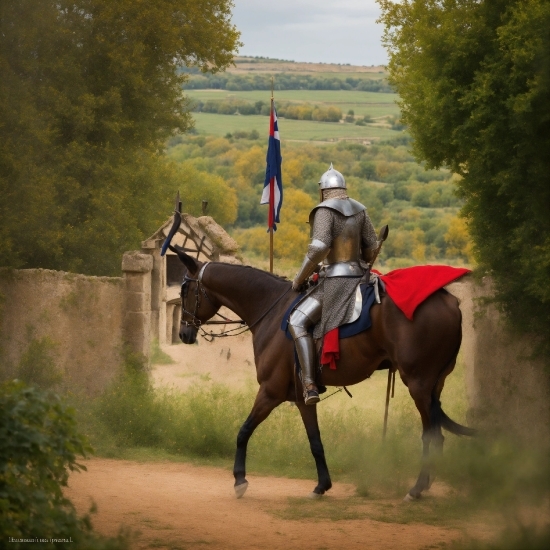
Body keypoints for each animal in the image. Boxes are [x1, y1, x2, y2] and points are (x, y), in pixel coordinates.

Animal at [170, 248, 476, 502]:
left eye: (185, 290)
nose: (184, 333)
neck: (270, 309)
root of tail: (451, 302)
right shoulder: (303, 397)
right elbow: (315, 441)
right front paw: (321, 486)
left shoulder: (269, 392)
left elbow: (243, 431)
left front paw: (239, 481)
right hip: (434, 386)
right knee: (437, 435)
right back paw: (425, 485)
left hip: (418, 385)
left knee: (431, 435)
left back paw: (416, 489)